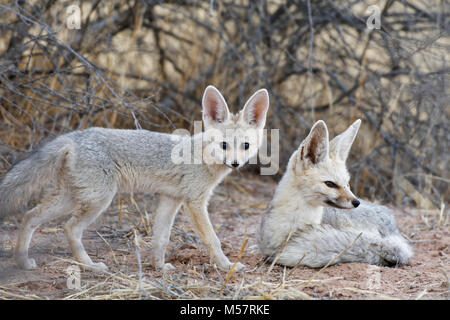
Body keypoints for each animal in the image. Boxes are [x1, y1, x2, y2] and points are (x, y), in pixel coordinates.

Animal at [0, 85, 268, 272]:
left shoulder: (171, 199)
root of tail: (73, 136)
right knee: (69, 227)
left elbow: (161, 237)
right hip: (98, 200)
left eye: (245, 146)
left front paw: (159, 267)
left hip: (70, 198)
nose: (235, 164)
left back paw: (23, 262)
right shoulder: (195, 202)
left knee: (29, 217)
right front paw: (227, 266)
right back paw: (90, 266)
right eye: (223, 145)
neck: (202, 157)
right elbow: (213, 239)